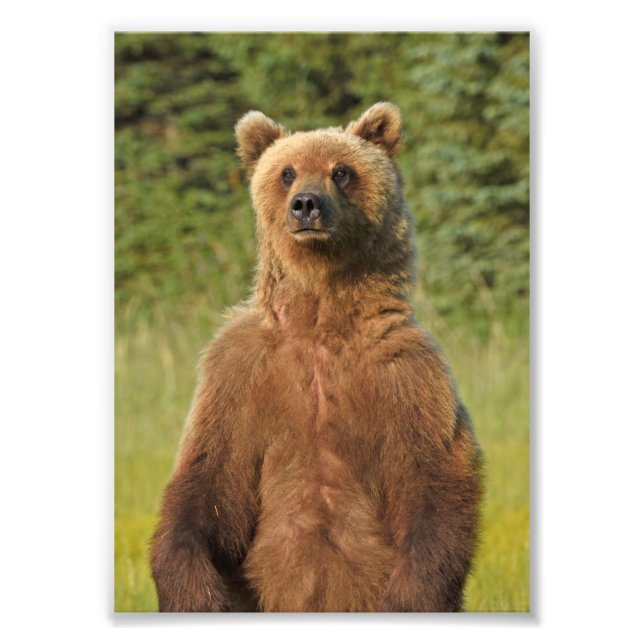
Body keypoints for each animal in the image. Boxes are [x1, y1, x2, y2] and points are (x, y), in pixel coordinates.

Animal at [150, 102, 483, 612]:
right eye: (287, 172)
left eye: (341, 171)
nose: (306, 204)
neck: (321, 318)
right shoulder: (240, 373)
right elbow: (210, 479)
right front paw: (195, 592)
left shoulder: (408, 376)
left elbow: (434, 486)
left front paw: (408, 598)